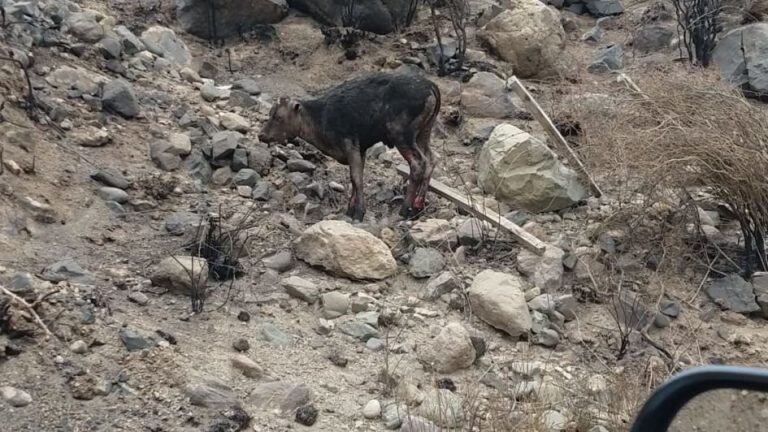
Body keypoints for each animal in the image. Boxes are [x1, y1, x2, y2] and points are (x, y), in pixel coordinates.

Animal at [256, 72, 438, 221]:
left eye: (278, 117)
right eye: (270, 113)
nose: (261, 135)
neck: (320, 118)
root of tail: (431, 87)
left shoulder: (350, 144)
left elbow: (356, 177)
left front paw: (359, 212)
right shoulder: (360, 149)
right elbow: (356, 177)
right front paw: (351, 209)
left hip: (402, 135)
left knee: (418, 163)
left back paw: (405, 210)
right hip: (424, 133)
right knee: (431, 160)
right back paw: (417, 207)